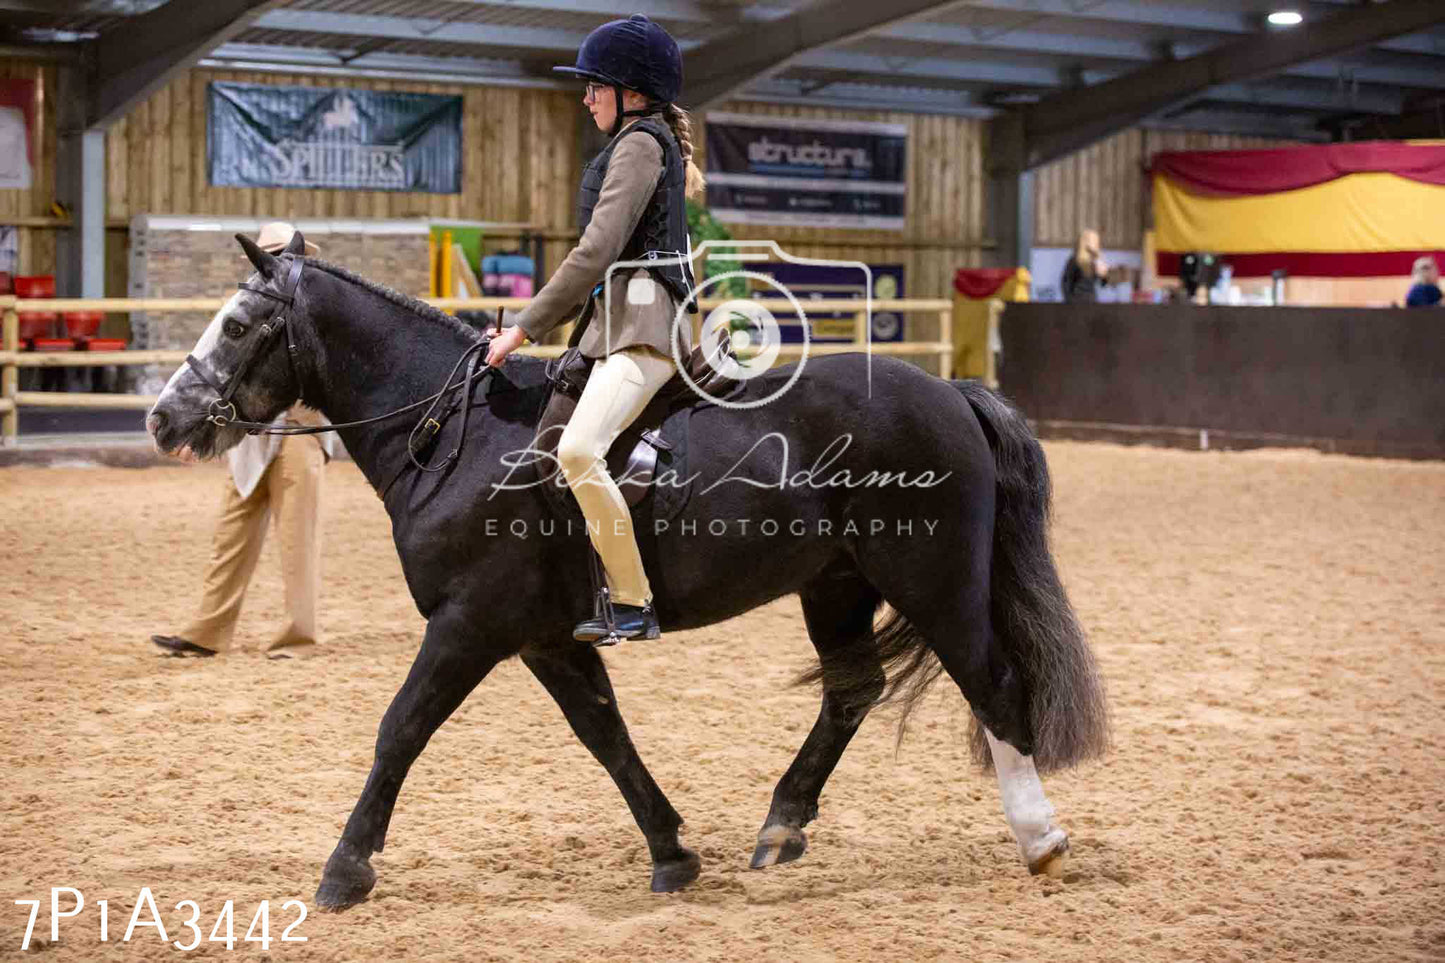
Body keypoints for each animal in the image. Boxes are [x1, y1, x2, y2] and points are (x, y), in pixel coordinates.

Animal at [149, 232, 1103, 908]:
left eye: (238, 325)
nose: (164, 417)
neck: (458, 433)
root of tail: (951, 393)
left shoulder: (467, 625)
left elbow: (400, 729)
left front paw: (345, 870)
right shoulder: (546, 639)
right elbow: (604, 734)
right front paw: (673, 852)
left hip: (932, 579)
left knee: (993, 685)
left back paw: (1040, 839)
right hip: (834, 585)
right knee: (851, 690)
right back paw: (781, 824)